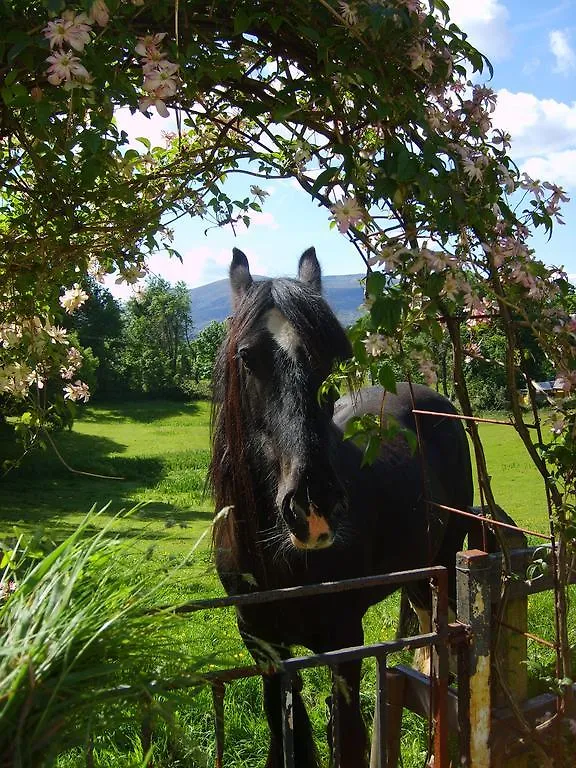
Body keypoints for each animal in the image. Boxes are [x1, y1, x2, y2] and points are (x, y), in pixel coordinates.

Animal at [208, 246, 472, 768]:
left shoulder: (345, 642)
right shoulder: (264, 648)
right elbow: (285, 733)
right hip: (417, 568)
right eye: (247, 357)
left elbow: (348, 740)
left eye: (333, 360)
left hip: (445, 561)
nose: (314, 507)